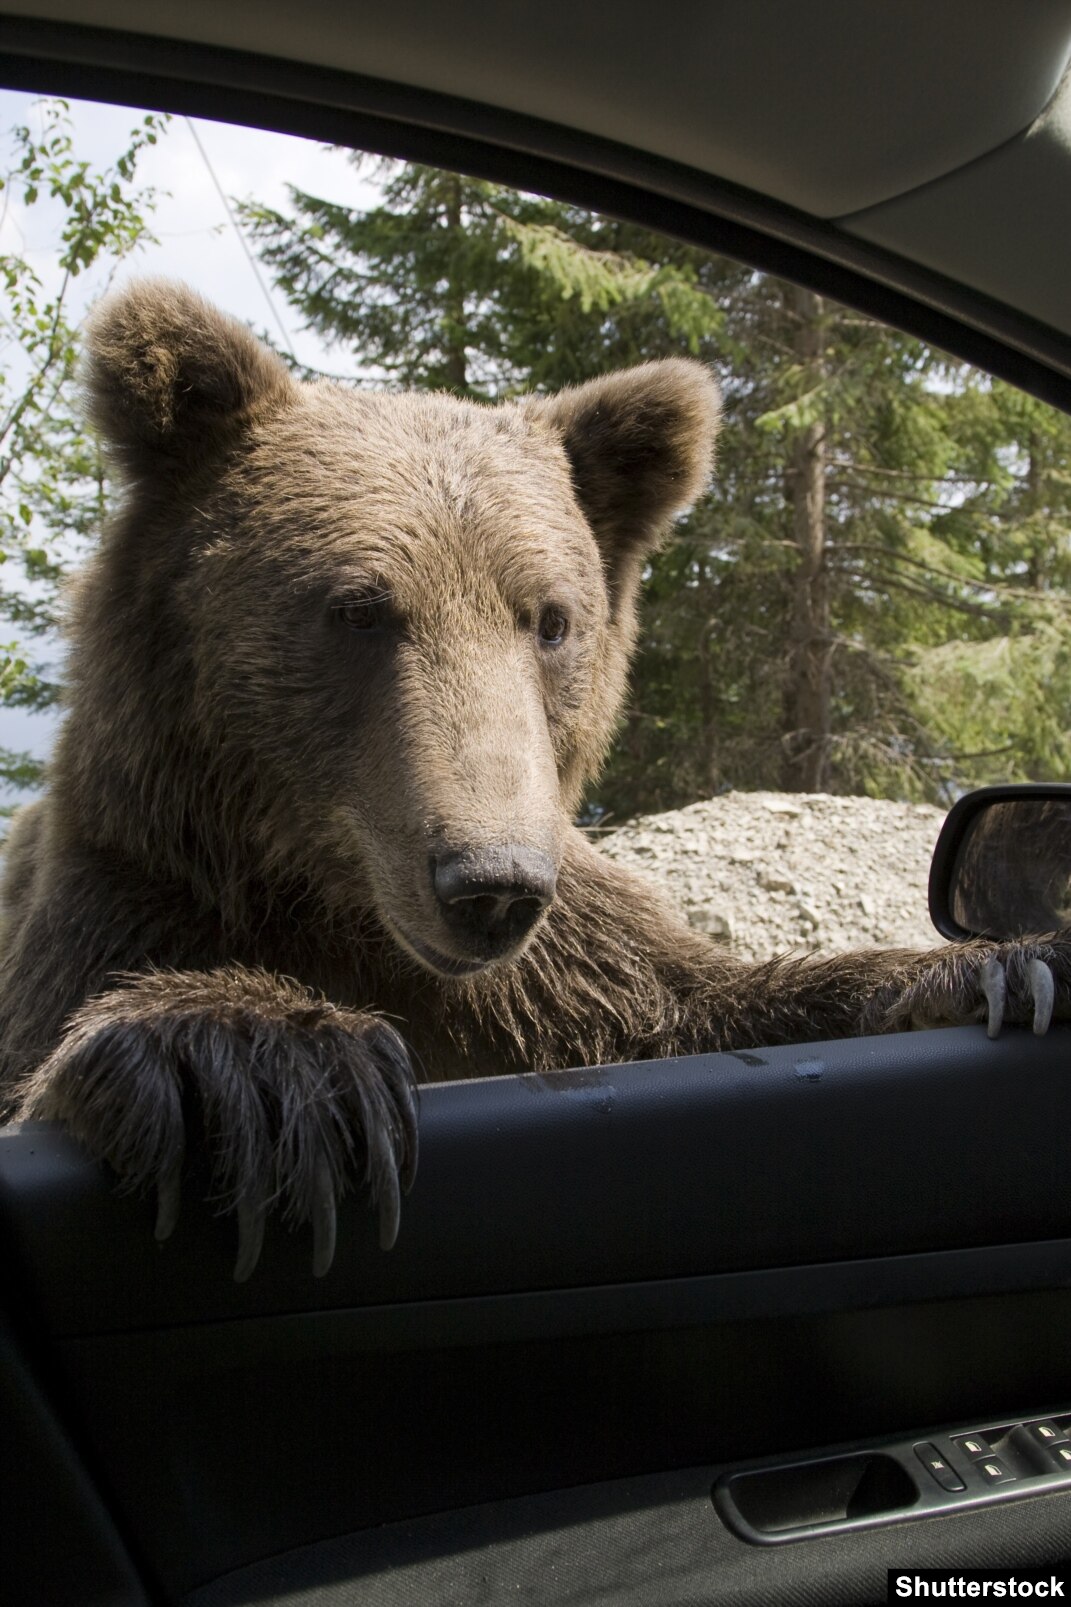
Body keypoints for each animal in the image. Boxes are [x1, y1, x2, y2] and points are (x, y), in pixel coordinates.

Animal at [0, 279, 1061, 1279]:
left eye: (550, 619)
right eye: (357, 608)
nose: (491, 884)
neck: (336, 902)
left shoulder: (560, 978)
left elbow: (697, 1002)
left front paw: (1000, 967)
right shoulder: (136, 896)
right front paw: (255, 1062)